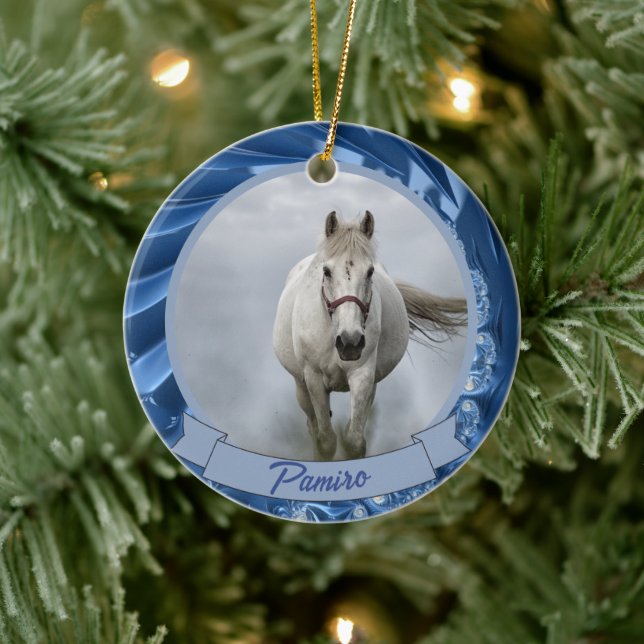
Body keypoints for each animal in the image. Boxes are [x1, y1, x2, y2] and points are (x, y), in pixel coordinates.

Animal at [272, 211, 467, 460]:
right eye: (326, 271)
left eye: (370, 271)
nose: (350, 342)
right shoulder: (313, 378)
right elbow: (325, 441)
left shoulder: (363, 375)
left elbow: (353, 440)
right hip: (301, 386)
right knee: (313, 427)